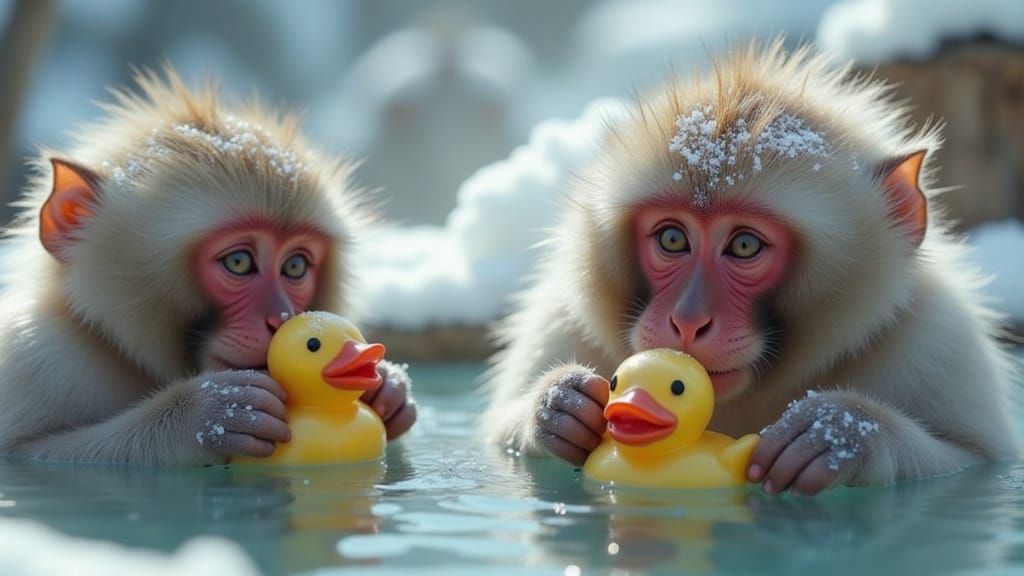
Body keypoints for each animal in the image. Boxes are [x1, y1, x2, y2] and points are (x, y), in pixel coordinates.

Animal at [0, 69, 417, 464]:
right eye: (239, 261)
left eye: (295, 266)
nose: (281, 319)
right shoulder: (39, 354)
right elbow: (27, 452)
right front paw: (207, 414)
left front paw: (389, 388)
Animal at [481, 40, 1019, 495]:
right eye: (673, 239)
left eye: (743, 246)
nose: (687, 321)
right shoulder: (559, 318)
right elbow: (494, 435)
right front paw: (558, 405)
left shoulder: (936, 338)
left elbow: (976, 461)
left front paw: (840, 431)